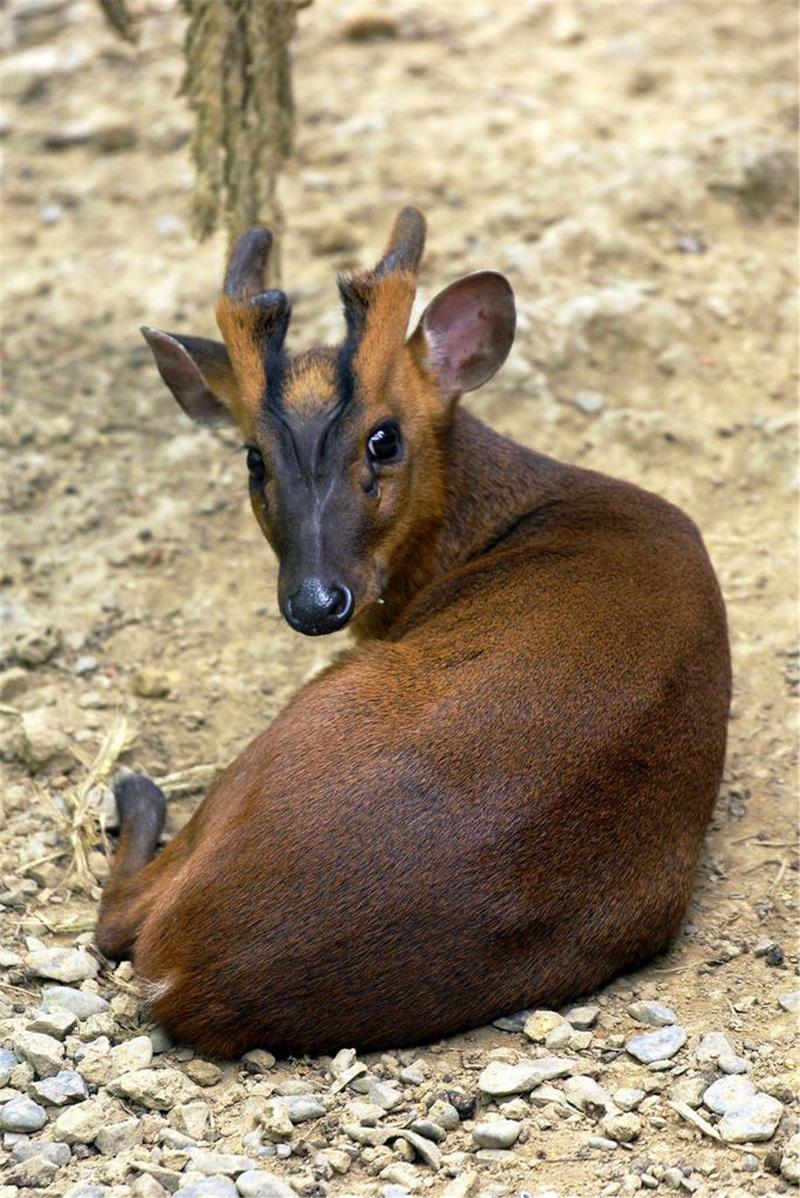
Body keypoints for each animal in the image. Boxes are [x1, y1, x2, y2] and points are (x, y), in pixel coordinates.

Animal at [95, 208, 732, 1059]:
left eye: (384, 438)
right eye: (253, 457)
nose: (316, 601)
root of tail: (191, 972)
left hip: (312, 712)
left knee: (119, 919)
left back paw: (136, 790)